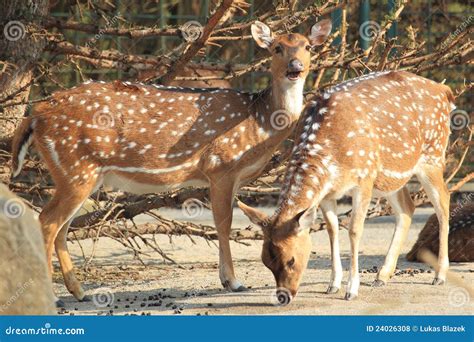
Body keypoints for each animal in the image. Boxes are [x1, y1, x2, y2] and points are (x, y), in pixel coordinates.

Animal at [9, 19, 332, 302]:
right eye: (277, 48)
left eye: (307, 47)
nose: (295, 67)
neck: (259, 120)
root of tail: (36, 114)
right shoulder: (220, 166)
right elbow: (223, 223)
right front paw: (233, 281)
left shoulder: (231, 176)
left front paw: (228, 279)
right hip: (75, 166)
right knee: (47, 222)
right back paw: (54, 295)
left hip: (80, 173)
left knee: (62, 228)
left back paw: (79, 292)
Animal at [239, 69, 454, 302]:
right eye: (265, 261)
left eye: (291, 259)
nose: (283, 296)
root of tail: (444, 90)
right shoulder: (327, 192)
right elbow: (332, 229)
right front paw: (333, 284)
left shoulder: (364, 177)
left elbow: (354, 230)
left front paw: (351, 289)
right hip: (392, 176)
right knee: (407, 208)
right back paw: (382, 276)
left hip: (433, 156)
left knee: (443, 202)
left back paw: (439, 275)